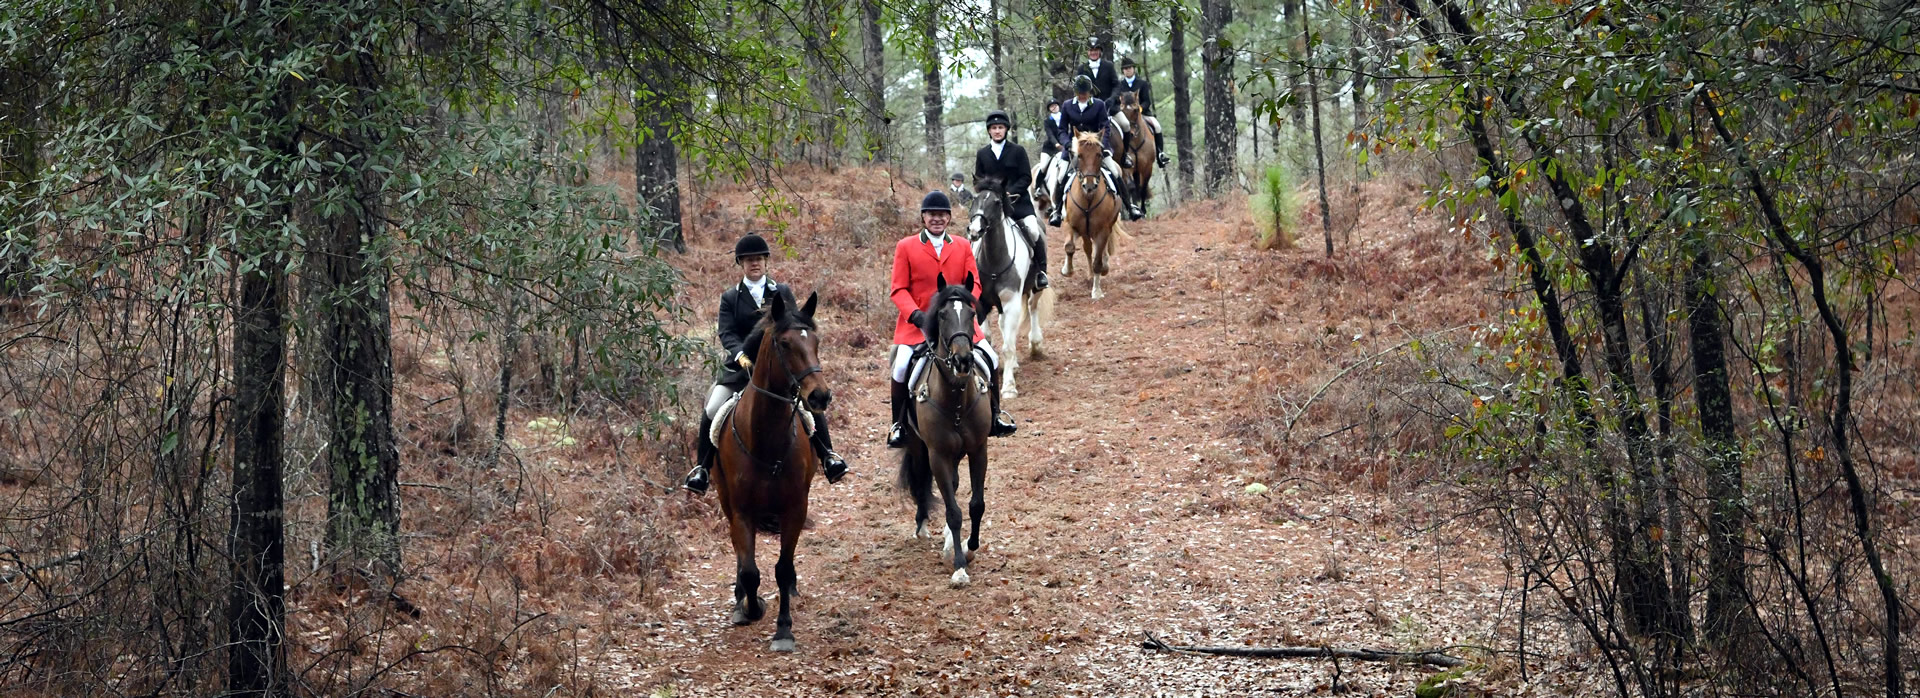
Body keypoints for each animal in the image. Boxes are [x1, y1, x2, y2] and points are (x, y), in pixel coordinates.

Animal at [711, 290, 831, 652]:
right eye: (785, 344)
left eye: (816, 341)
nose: (820, 396)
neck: (766, 437)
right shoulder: (741, 510)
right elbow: (751, 571)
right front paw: (750, 608)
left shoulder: (795, 507)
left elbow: (782, 568)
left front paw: (783, 630)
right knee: (741, 556)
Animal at [897, 274, 990, 588]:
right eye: (942, 315)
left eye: (972, 314)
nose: (963, 361)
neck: (956, 396)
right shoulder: (937, 455)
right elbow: (953, 511)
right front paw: (960, 567)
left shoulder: (978, 450)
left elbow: (975, 504)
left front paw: (970, 548)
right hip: (919, 448)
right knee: (922, 481)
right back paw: (923, 525)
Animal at [967, 176, 1055, 399]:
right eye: (974, 199)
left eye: (997, 202)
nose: (975, 231)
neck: (994, 260)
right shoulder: (982, 303)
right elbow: (988, 339)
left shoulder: (1011, 302)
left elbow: (1008, 345)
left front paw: (1008, 387)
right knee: (1004, 325)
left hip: (1034, 289)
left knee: (1032, 309)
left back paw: (1035, 345)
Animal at [1061, 131, 1122, 300]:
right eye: (1079, 156)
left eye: (1099, 155)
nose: (1089, 185)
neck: (1088, 198)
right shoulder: (1070, 224)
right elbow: (1069, 247)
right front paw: (1067, 270)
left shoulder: (1102, 230)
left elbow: (1097, 261)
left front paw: (1097, 291)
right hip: (1085, 231)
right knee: (1087, 248)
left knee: (1098, 251)